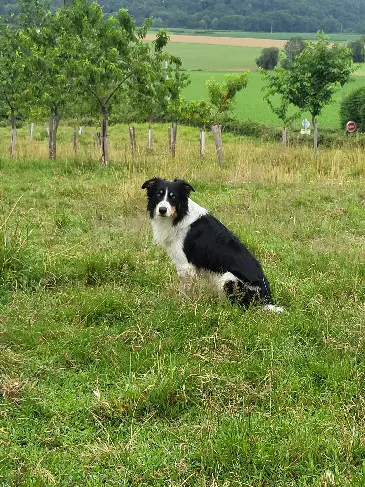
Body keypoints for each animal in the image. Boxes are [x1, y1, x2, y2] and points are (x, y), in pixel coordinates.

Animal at [141, 178, 282, 312]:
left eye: (173, 196)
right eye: (158, 195)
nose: (162, 210)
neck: (179, 215)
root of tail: (265, 301)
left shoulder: (185, 265)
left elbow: (185, 290)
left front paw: (182, 305)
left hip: (228, 278)